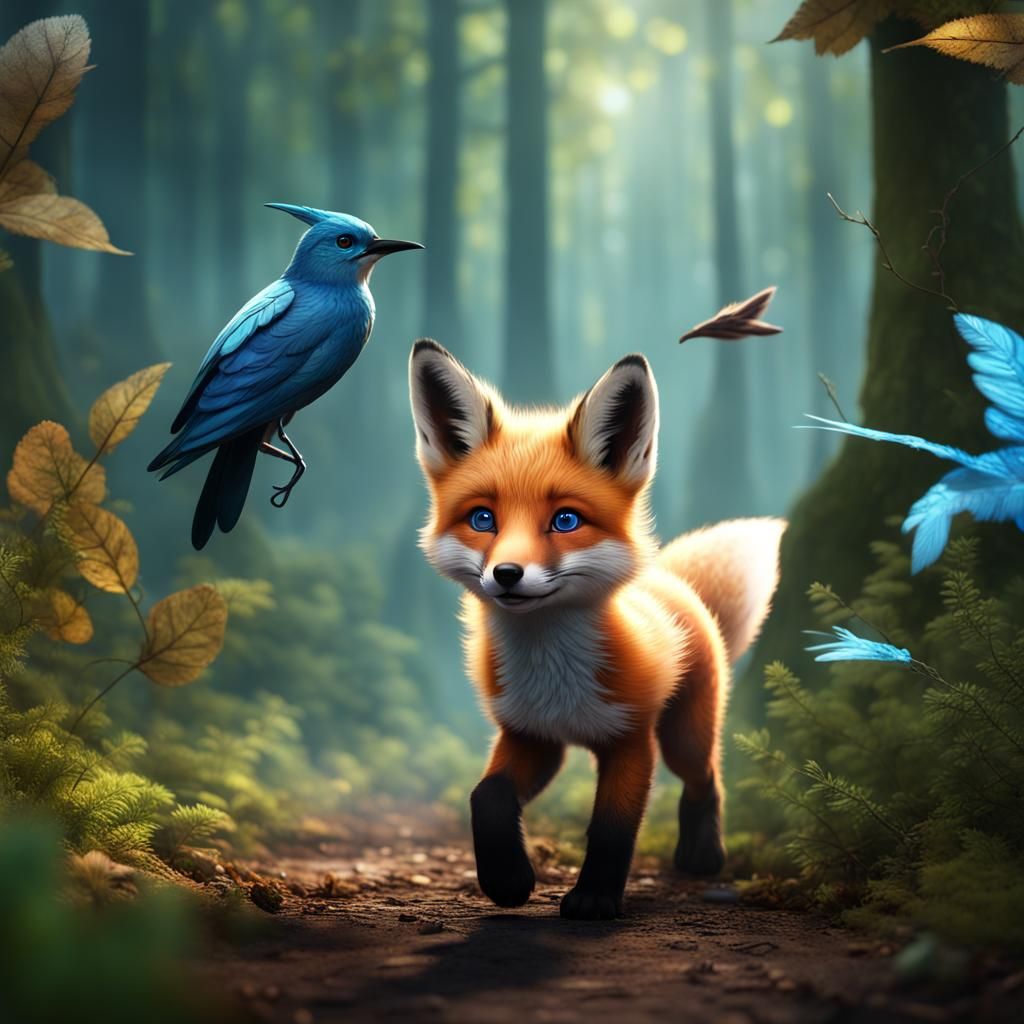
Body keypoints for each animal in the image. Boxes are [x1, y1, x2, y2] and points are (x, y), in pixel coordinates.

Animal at [408, 339, 785, 920]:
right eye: (482, 519)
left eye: (565, 520)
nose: (507, 574)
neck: (556, 678)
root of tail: (671, 579)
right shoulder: (532, 734)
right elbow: (486, 796)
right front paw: (508, 881)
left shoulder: (630, 739)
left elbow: (612, 826)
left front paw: (593, 899)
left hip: (683, 733)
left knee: (705, 777)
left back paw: (702, 855)